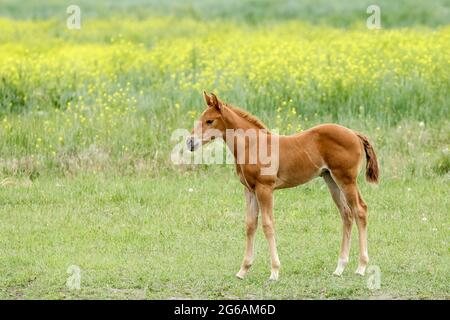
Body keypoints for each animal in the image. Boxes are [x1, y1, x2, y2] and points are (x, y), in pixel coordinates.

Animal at [187, 92, 380, 280]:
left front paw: (274, 271)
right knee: (347, 214)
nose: (190, 142)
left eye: (209, 120)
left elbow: (267, 225)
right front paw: (243, 270)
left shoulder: (265, 189)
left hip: (346, 180)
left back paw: (361, 267)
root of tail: (354, 134)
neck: (253, 145)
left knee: (360, 210)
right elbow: (250, 225)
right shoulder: (250, 190)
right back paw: (339, 268)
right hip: (331, 180)